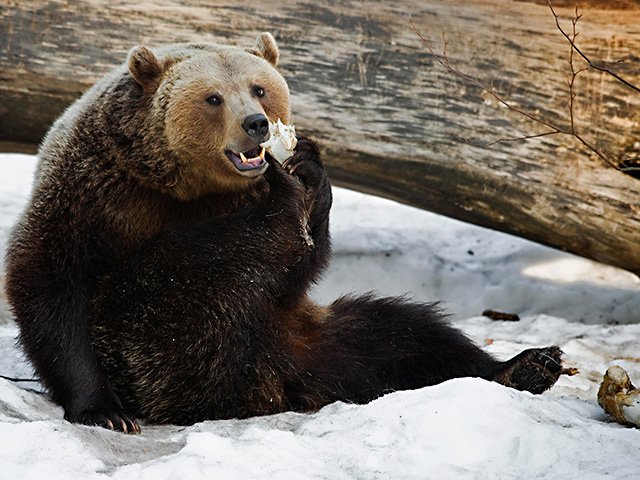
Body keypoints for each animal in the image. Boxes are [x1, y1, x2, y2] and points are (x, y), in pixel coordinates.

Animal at [6, 32, 564, 432]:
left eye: (259, 87)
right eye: (212, 97)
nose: (256, 124)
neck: (185, 186)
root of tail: (277, 385)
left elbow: (302, 266)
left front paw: (310, 172)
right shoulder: (96, 191)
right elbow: (49, 279)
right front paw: (103, 408)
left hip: (309, 337)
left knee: (404, 333)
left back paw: (526, 365)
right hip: (159, 342)